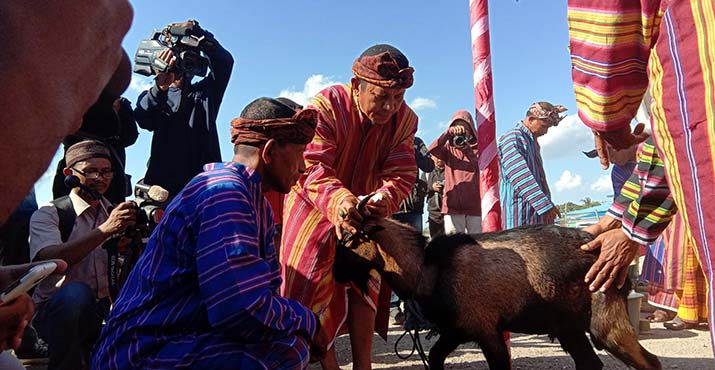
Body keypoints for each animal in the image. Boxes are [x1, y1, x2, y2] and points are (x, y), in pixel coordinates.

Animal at [338, 217, 664, 370]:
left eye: (351, 239)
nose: (334, 270)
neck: (428, 267)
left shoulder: (487, 331)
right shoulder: (457, 330)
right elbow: (434, 355)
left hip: (606, 322)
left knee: (650, 363)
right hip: (569, 327)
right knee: (590, 363)